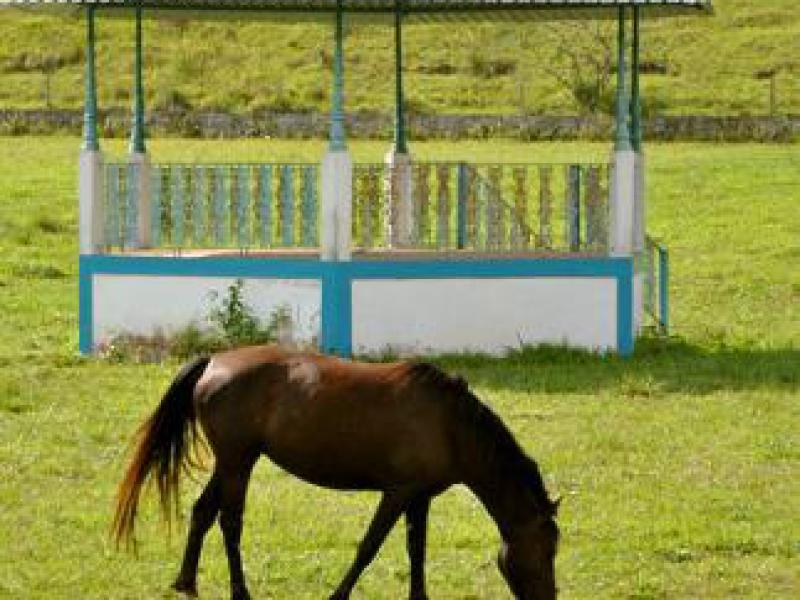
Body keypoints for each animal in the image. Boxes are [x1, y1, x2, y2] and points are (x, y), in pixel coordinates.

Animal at [112, 345, 559, 600]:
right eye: (546, 549)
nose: (550, 597)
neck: (449, 423)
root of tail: (213, 362)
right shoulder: (398, 493)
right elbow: (369, 547)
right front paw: (338, 594)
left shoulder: (420, 498)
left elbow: (416, 550)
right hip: (238, 462)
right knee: (229, 521)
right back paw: (240, 591)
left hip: (229, 462)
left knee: (203, 512)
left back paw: (186, 582)